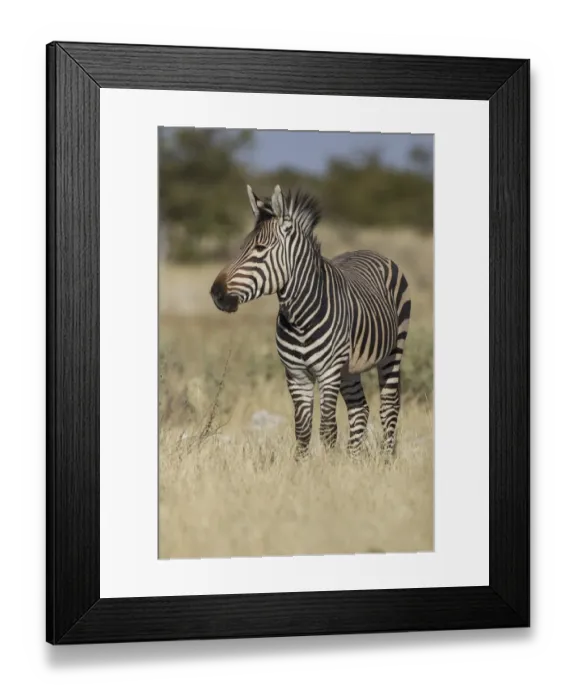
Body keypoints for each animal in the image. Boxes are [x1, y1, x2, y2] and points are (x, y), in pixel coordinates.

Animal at [210, 184, 411, 460]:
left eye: (260, 249)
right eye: (242, 247)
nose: (216, 293)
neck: (300, 317)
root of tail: (369, 251)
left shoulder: (327, 372)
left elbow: (327, 428)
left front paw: (326, 467)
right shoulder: (296, 374)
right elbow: (303, 429)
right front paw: (301, 466)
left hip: (393, 351)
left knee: (389, 406)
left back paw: (386, 460)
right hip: (348, 368)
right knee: (359, 410)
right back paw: (353, 460)